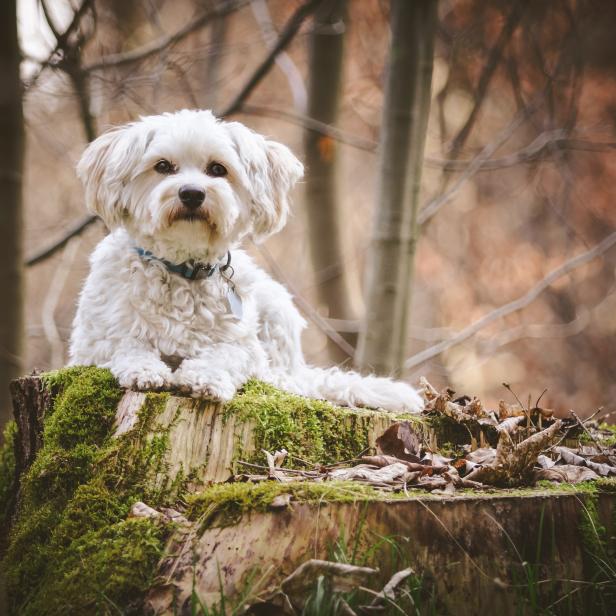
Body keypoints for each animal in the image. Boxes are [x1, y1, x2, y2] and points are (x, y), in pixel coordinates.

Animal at [68, 109, 424, 414]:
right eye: (163, 166)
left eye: (217, 169)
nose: (192, 193)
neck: (182, 266)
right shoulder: (91, 345)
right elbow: (124, 344)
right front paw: (144, 368)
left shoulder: (245, 347)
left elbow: (228, 354)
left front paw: (205, 376)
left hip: (278, 310)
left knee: (281, 378)